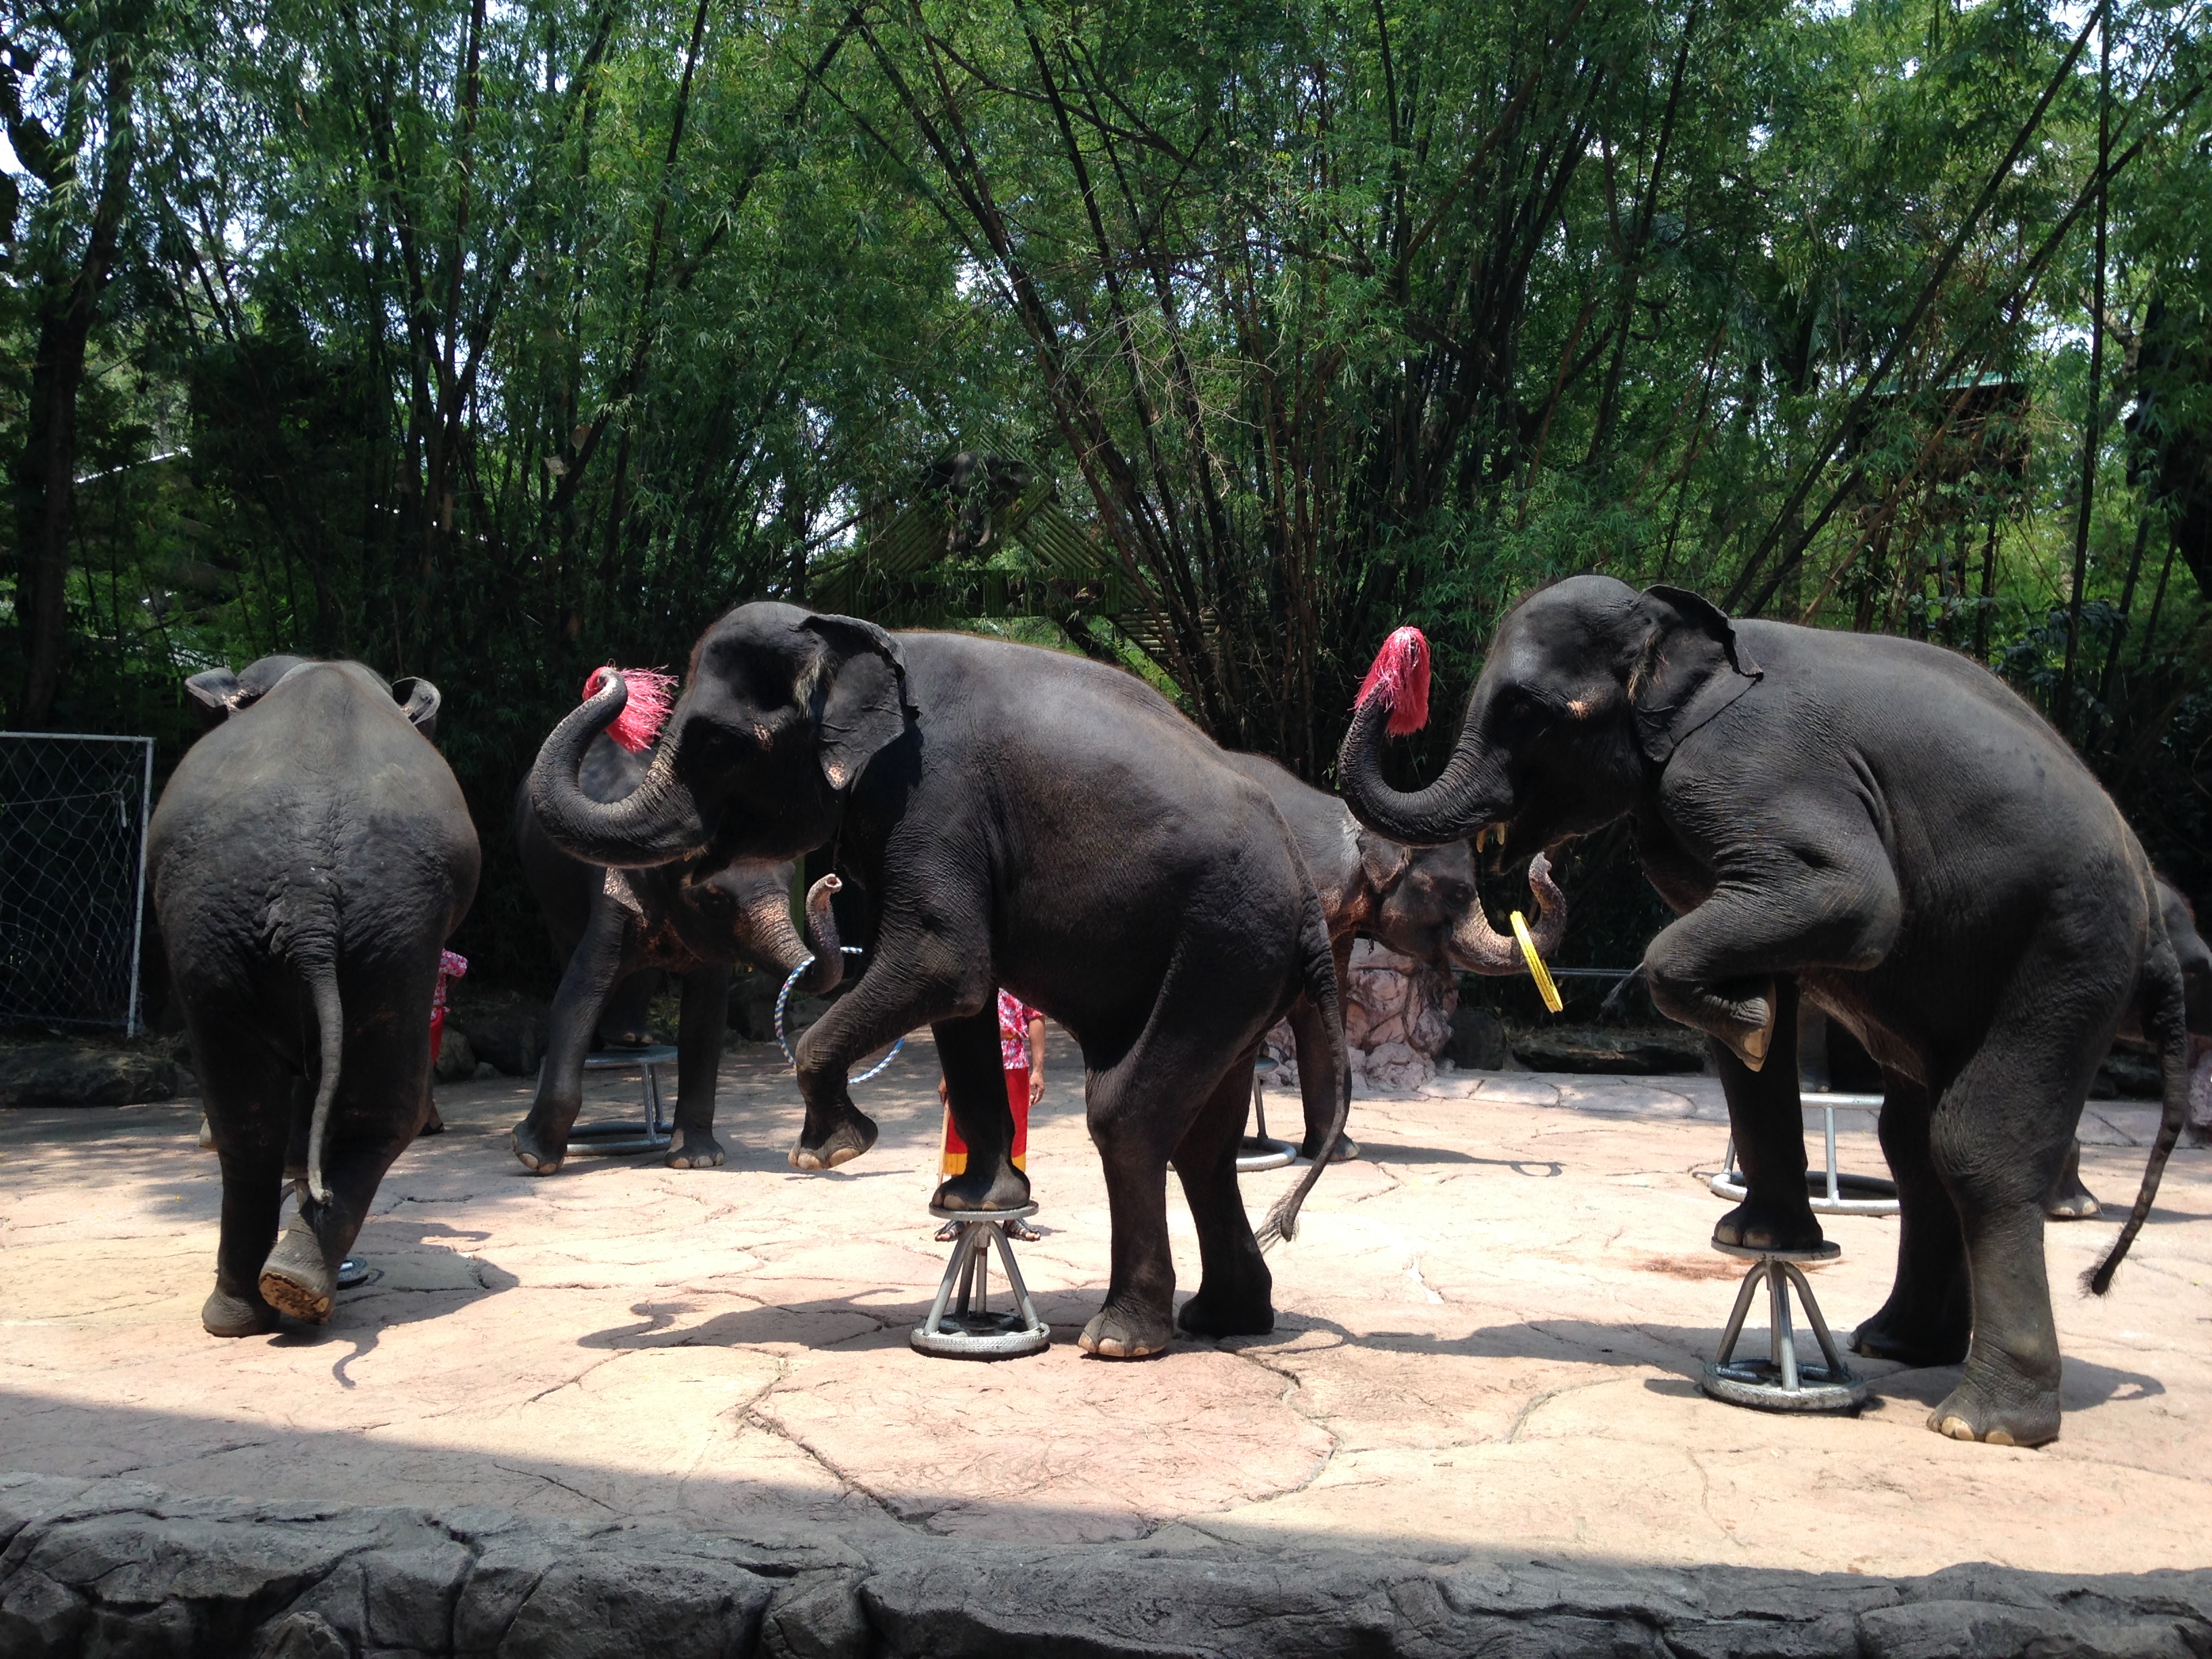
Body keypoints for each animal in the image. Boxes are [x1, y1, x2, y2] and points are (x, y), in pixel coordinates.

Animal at [151, 655, 479, 1335]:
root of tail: (307, 894)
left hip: (249, 917)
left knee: (256, 1110)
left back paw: (262, 1299)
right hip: (356, 919)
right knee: (323, 1108)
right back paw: (282, 1292)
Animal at [509, 726, 843, 1174]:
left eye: (791, 877)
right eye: (716, 899)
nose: (831, 882)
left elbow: (707, 1015)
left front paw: (698, 1161)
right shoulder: (614, 893)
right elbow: (580, 992)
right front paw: (533, 1158)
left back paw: (633, 1038)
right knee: (565, 943)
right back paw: (608, 1044)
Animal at [1338, 576, 2189, 1447]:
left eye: (1532, 713)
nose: (1401, 659)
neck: (1678, 636)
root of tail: (2151, 912)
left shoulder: (1745, 770)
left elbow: (1850, 896)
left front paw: (1743, 1020)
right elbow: (1764, 1004)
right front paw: (1760, 1229)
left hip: (2070, 947)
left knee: (1977, 1143)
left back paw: (1982, 1424)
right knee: (1913, 1140)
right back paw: (1898, 1344)